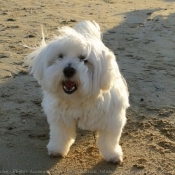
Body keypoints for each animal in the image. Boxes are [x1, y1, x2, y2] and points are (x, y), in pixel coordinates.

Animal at [26, 20, 129, 164]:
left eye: (84, 59)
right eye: (60, 56)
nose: (68, 70)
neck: (78, 98)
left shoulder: (112, 118)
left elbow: (109, 140)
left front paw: (112, 154)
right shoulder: (61, 118)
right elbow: (61, 135)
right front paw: (57, 149)